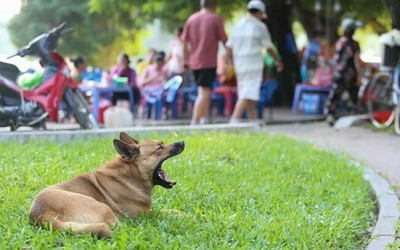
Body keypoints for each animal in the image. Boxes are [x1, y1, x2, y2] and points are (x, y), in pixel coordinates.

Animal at [28, 132, 185, 237]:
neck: (131, 172)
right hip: (102, 207)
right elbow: (160, 212)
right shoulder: (144, 214)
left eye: (162, 143)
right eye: (159, 148)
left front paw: (178, 212)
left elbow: (165, 210)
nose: (182, 142)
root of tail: (42, 215)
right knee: (120, 228)